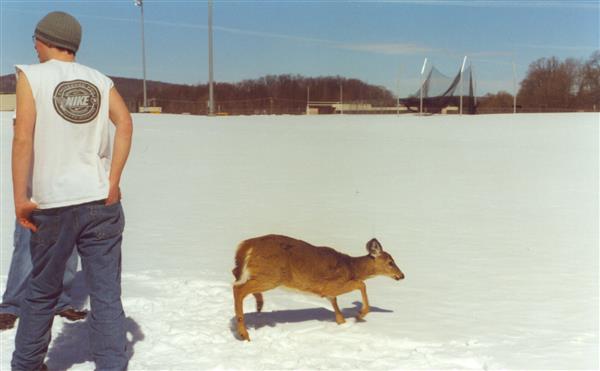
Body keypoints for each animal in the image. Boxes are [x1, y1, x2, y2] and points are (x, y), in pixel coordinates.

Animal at [232, 237, 406, 342]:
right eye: (390, 262)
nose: (402, 275)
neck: (351, 267)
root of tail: (246, 245)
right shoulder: (331, 285)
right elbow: (361, 284)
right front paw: (360, 314)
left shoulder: (329, 294)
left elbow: (338, 312)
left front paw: (343, 324)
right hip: (271, 276)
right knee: (238, 289)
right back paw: (244, 334)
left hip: (263, 275)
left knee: (236, 278)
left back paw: (258, 305)